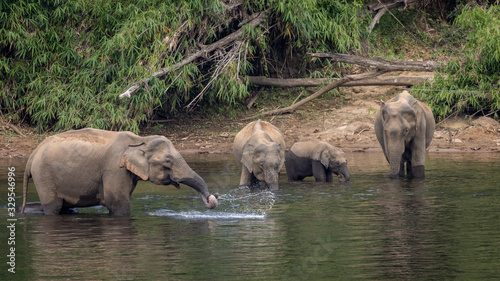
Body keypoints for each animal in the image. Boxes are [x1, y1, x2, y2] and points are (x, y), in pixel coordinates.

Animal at [21, 128, 217, 215]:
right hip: (44, 175)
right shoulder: (114, 169)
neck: (140, 139)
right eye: (168, 161)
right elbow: (118, 204)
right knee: (53, 207)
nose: (211, 199)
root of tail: (33, 154)